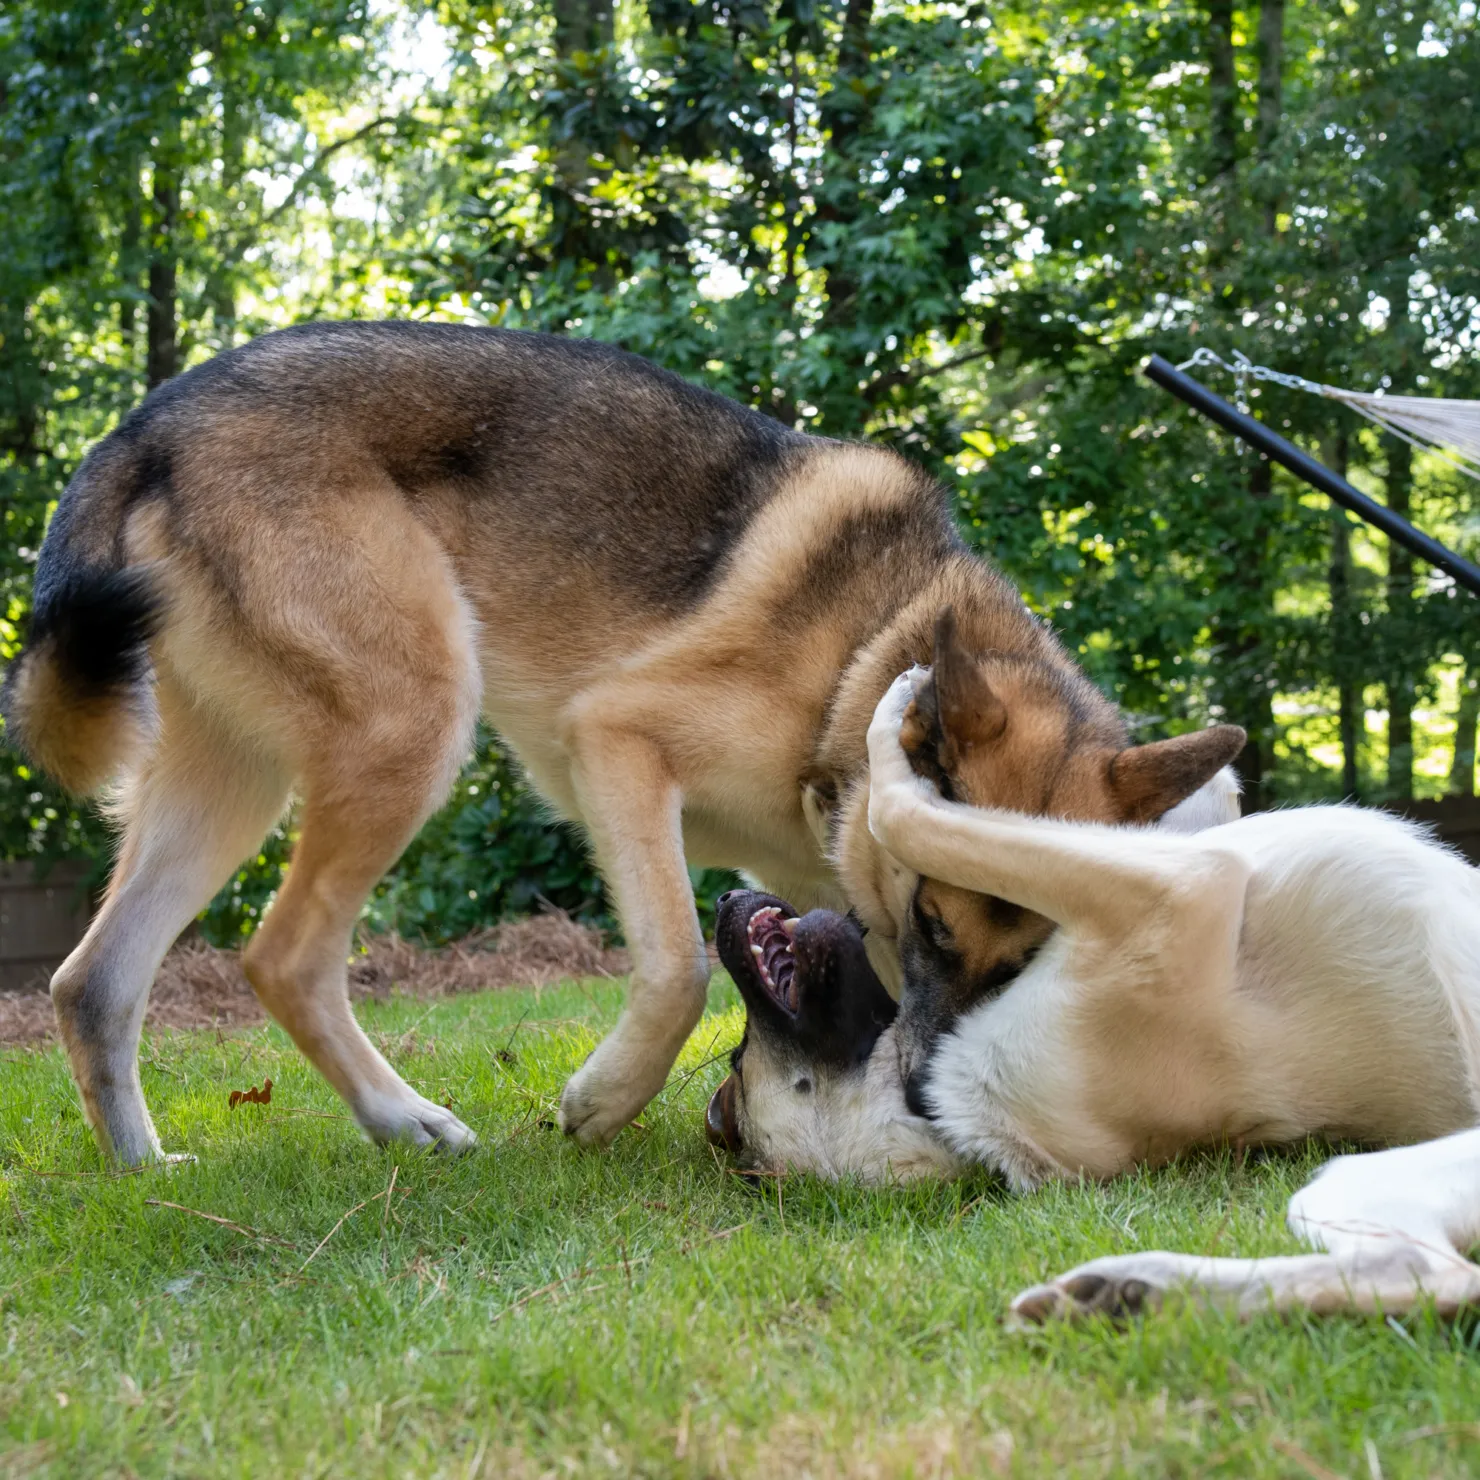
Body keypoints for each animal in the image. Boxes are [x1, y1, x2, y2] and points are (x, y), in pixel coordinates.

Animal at [2, 327, 1237, 1166]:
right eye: (937, 922)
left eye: (1020, 962)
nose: (935, 1097)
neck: (860, 658)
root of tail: (147, 426)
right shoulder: (619, 744)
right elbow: (681, 965)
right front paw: (604, 1099)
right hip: (412, 724)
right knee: (284, 956)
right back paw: (402, 1118)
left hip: (232, 783)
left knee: (92, 981)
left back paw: (144, 1168)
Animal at [704, 671, 1480, 1320]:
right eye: (739, 1062)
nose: (724, 899)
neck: (938, 1111)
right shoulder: (1186, 886)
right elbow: (904, 815)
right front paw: (892, 722)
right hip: (1358, 1179)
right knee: (1432, 1274)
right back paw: (1133, 1292)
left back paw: (1131, 1291)